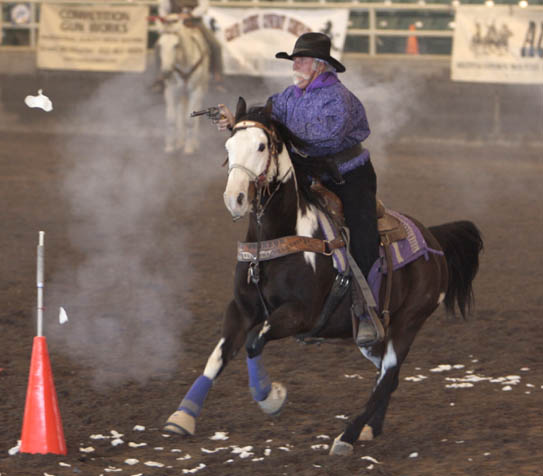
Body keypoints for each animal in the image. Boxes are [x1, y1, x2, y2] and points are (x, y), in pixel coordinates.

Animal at [155, 15, 209, 154]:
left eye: (176, 45)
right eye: (160, 45)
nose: (166, 72)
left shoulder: (195, 91)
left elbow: (190, 120)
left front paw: (189, 148)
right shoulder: (171, 90)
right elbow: (171, 118)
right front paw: (170, 146)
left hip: (200, 89)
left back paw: (194, 142)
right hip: (181, 93)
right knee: (180, 110)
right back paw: (180, 140)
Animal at [163, 97, 484, 456]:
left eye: (261, 146)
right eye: (228, 145)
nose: (235, 199)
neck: (278, 237)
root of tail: (432, 239)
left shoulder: (298, 314)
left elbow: (253, 341)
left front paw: (271, 397)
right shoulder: (241, 308)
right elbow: (217, 356)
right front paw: (183, 416)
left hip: (409, 321)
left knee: (388, 373)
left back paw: (346, 437)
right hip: (372, 336)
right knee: (390, 375)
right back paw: (370, 429)